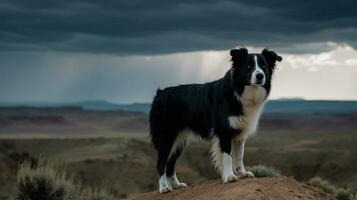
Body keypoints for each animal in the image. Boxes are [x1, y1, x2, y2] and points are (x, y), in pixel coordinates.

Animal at [147, 47, 280, 193]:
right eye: (249, 67)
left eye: (264, 66)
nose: (260, 76)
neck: (239, 92)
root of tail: (159, 93)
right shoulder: (224, 132)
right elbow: (227, 156)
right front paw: (229, 177)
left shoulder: (239, 132)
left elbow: (239, 156)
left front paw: (242, 174)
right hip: (167, 136)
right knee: (161, 163)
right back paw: (164, 188)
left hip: (179, 140)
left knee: (170, 163)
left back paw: (176, 185)